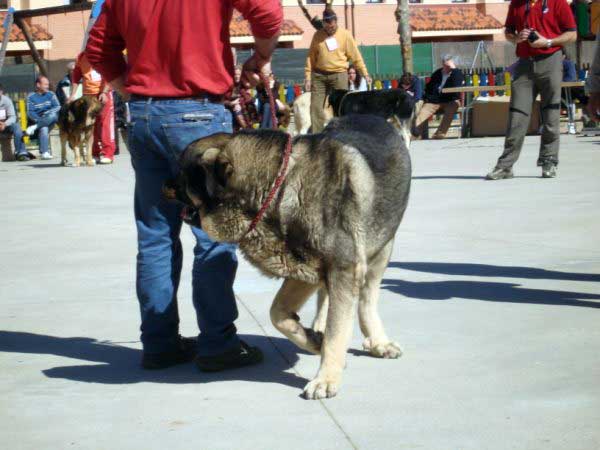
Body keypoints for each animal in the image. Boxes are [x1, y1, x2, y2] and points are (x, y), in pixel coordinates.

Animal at [164, 114, 410, 400]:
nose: (161, 185)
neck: (275, 188)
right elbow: (277, 312)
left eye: (180, 172)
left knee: (367, 299)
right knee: (326, 298)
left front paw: (325, 378)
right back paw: (320, 328)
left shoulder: (343, 268)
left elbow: (337, 329)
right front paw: (313, 341)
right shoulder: (302, 267)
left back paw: (378, 342)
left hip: (381, 248)